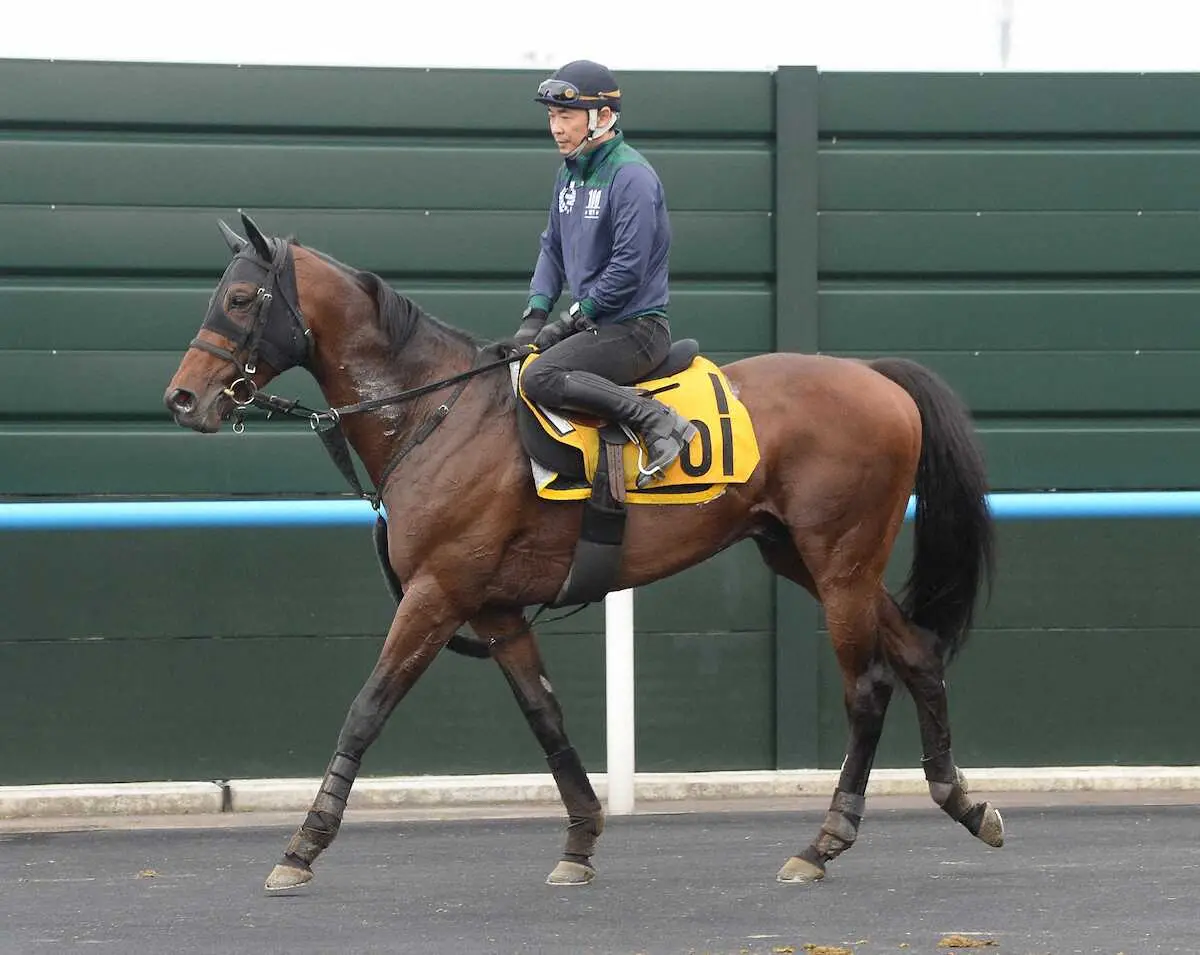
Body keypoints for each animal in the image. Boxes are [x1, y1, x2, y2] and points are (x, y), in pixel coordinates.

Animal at [164, 212, 998, 892]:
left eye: (242, 300)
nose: (182, 398)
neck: (437, 411)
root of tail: (875, 376)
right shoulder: (496, 609)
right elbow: (546, 716)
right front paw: (580, 839)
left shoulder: (438, 592)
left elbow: (367, 708)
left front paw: (303, 845)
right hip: (804, 557)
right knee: (919, 654)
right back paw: (962, 800)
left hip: (840, 562)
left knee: (868, 688)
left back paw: (824, 841)